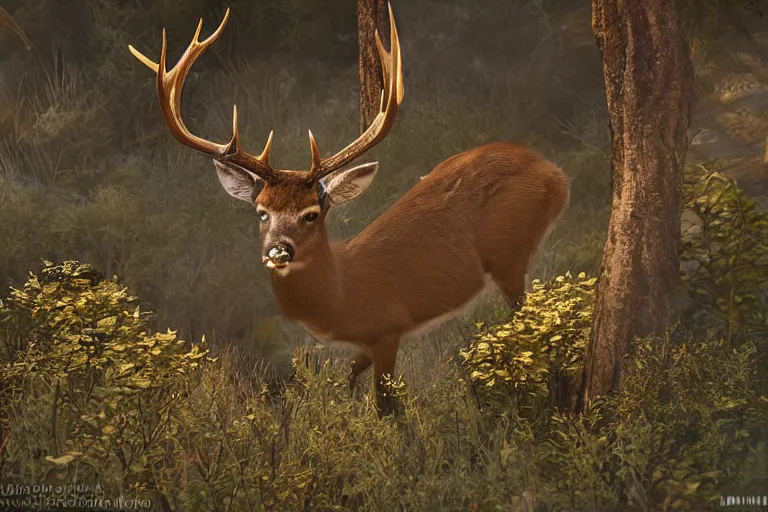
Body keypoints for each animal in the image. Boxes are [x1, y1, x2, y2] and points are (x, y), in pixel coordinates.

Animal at [126, 3, 568, 416]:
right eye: (261, 211)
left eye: (312, 213)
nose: (278, 250)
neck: (342, 294)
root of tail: (555, 172)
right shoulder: (362, 348)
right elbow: (343, 384)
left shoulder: (387, 329)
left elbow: (387, 407)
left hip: (510, 253)